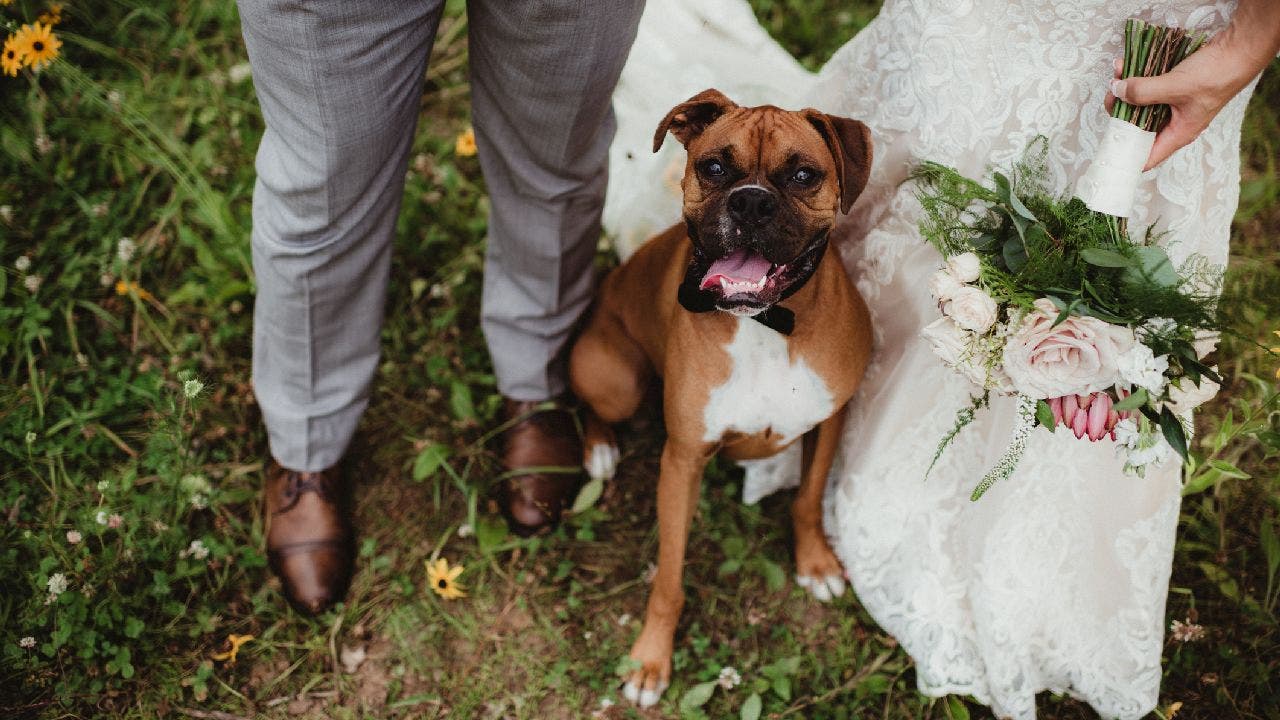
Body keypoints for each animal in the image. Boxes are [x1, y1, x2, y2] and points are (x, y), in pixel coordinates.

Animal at [568, 89, 870, 707]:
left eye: (803, 175)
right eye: (713, 167)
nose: (750, 202)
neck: (764, 325)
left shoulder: (829, 420)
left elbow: (807, 500)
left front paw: (816, 563)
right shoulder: (683, 461)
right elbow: (668, 577)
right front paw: (650, 659)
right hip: (617, 381)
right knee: (594, 405)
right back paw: (601, 450)